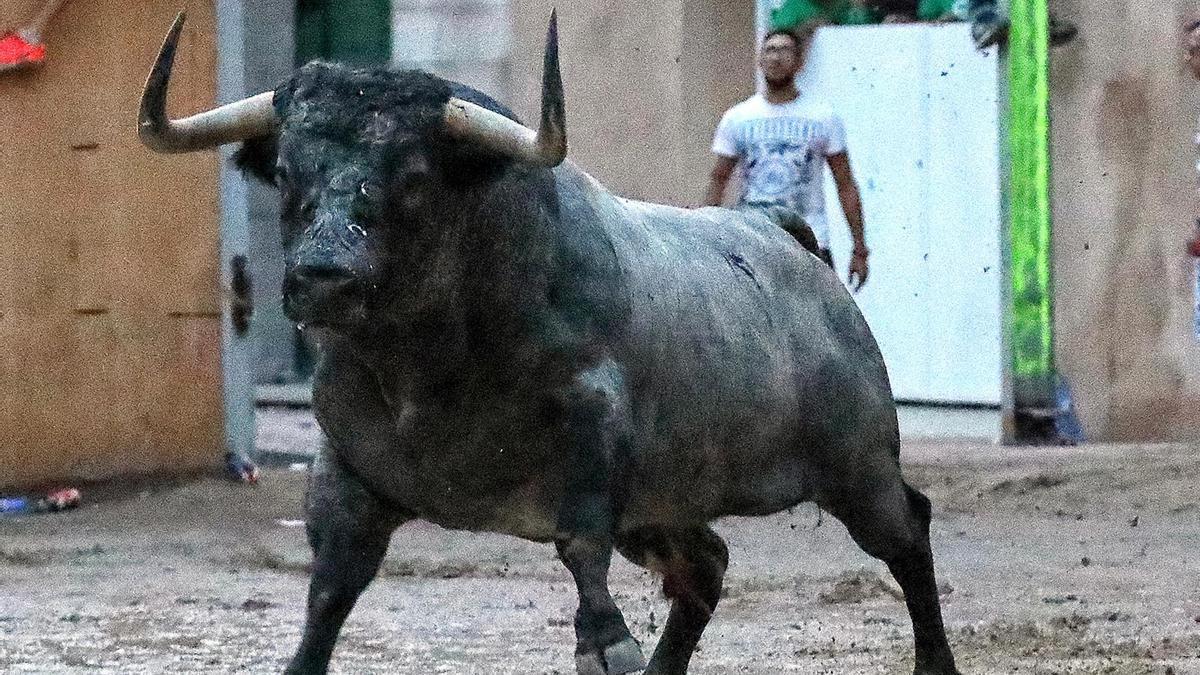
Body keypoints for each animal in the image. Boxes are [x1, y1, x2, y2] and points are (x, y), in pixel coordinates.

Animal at [140, 10, 960, 672]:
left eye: (412, 175)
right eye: (284, 170)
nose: (323, 275)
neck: (425, 368)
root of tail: (787, 240)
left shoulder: (591, 423)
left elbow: (579, 537)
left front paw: (605, 640)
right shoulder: (347, 462)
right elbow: (331, 584)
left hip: (857, 466)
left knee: (906, 532)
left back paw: (935, 660)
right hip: (666, 500)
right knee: (706, 564)